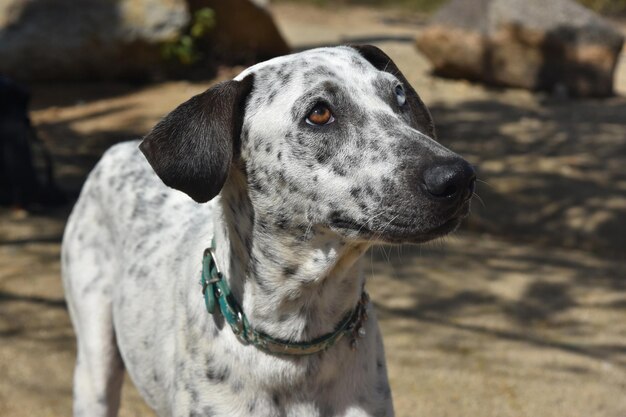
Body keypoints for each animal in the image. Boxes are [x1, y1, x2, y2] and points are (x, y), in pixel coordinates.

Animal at [62, 45, 472, 416]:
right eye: (319, 113)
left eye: (398, 95)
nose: (458, 176)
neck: (298, 340)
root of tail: (118, 148)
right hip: (95, 366)